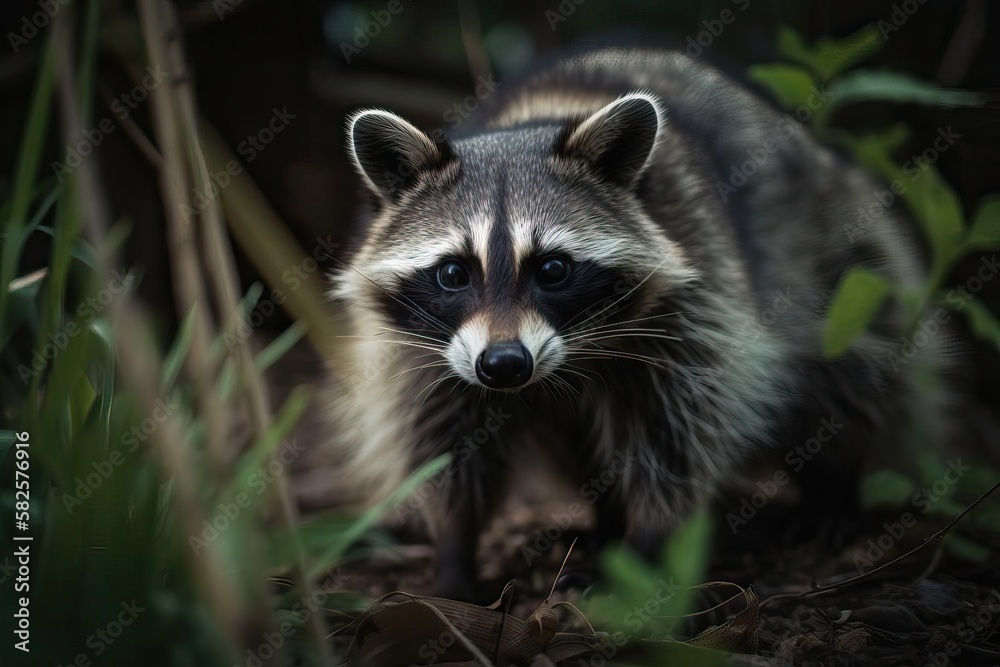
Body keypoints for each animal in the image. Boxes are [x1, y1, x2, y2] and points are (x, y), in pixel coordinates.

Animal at [330, 48, 952, 600]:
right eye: (454, 273)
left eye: (552, 269)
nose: (504, 366)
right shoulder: (425, 352)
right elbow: (445, 442)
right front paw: (455, 548)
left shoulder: (696, 308)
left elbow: (678, 439)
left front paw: (647, 545)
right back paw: (603, 522)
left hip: (844, 266)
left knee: (854, 372)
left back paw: (836, 482)